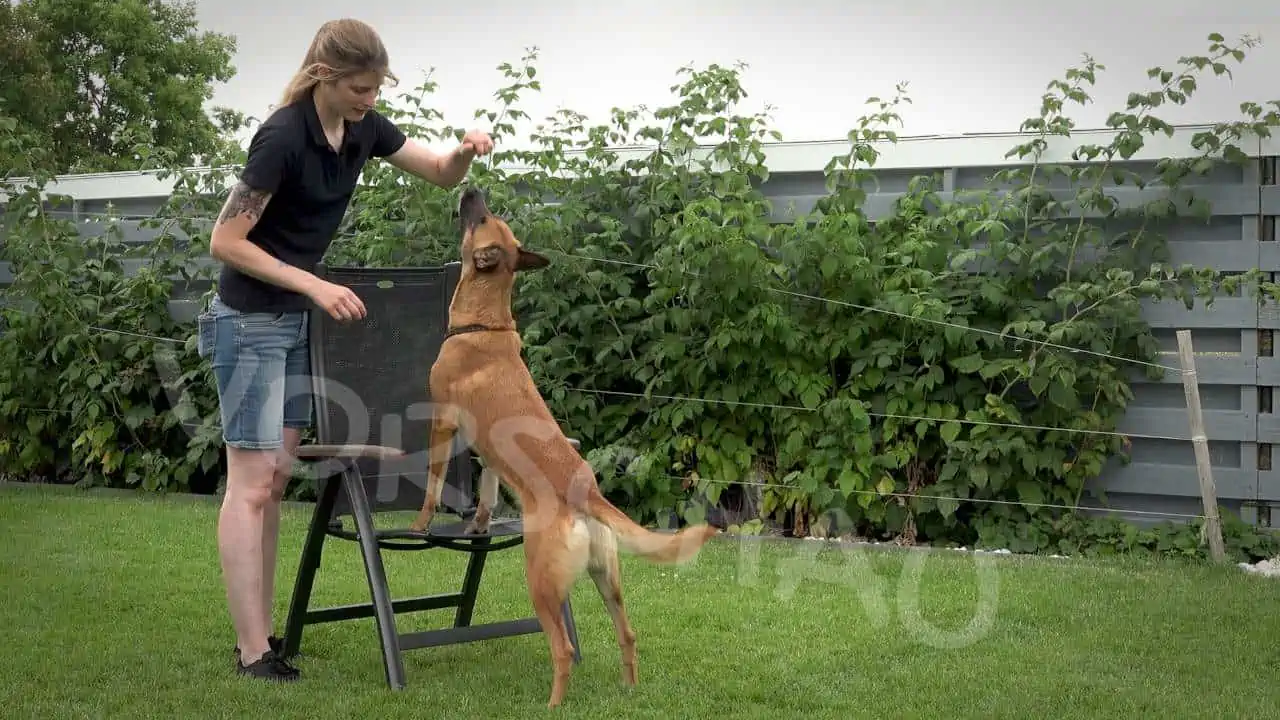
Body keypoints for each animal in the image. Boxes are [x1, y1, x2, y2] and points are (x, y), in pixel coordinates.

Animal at [409, 184, 721, 707]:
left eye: (482, 218)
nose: (472, 188)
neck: (484, 324)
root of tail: (586, 492)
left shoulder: (443, 423)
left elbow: (432, 487)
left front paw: (420, 525)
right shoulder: (486, 451)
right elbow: (487, 492)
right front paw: (478, 525)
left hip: (540, 584)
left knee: (562, 649)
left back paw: (552, 705)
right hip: (606, 579)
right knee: (628, 634)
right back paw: (629, 692)